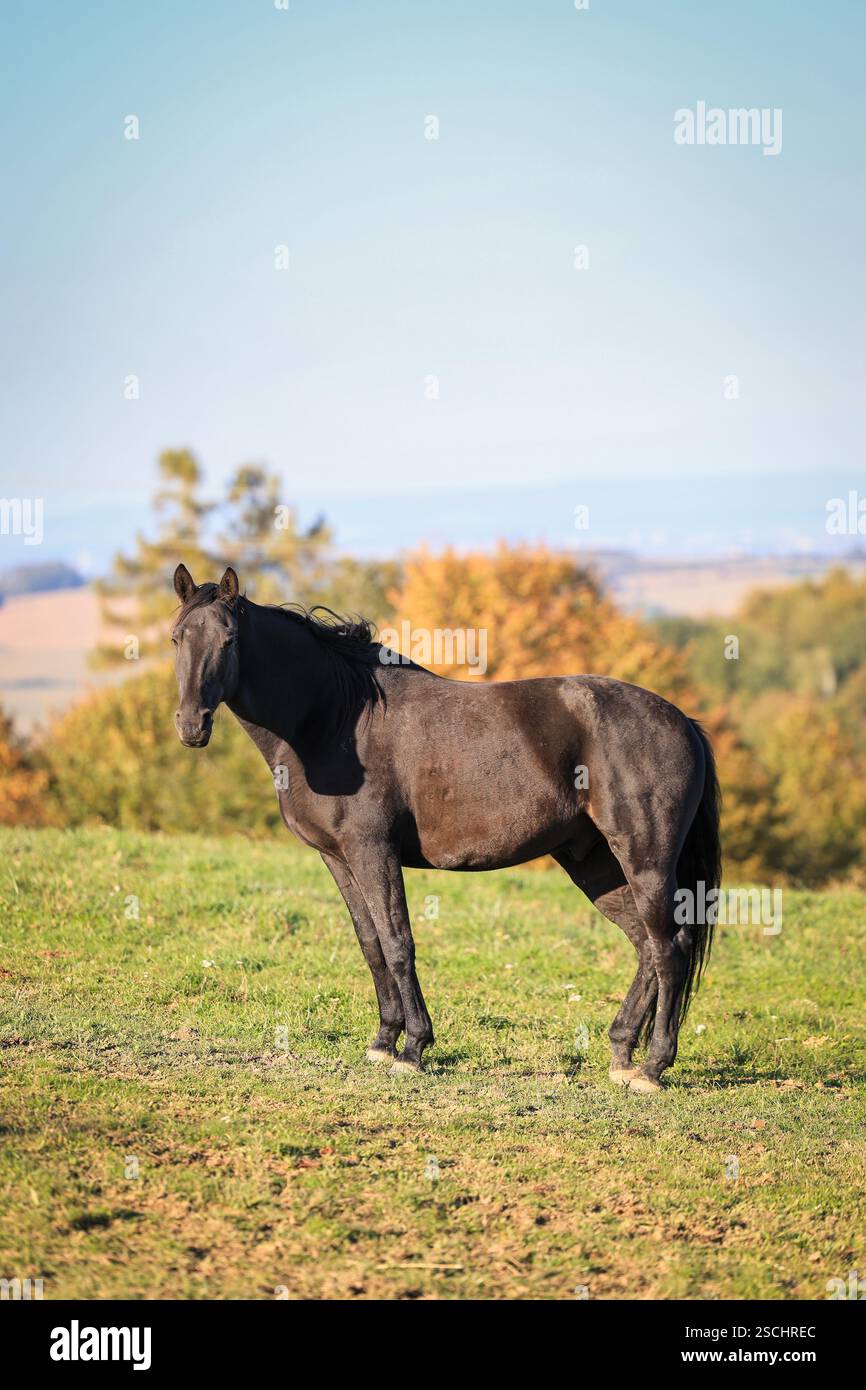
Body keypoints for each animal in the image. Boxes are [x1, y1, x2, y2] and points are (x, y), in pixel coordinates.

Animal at [171, 563, 721, 1093]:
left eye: (229, 640)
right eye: (177, 637)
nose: (191, 725)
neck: (334, 720)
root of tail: (684, 723)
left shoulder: (374, 851)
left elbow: (399, 943)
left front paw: (413, 1049)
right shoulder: (338, 858)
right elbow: (371, 945)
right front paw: (383, 1042)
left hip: (645, 859)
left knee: (670, 948)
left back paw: (652, 1069)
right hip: (597, 864)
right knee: (646, 946)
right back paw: (622, 1053)